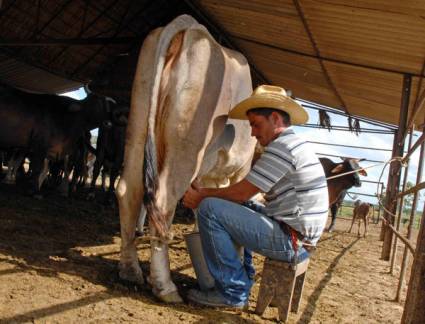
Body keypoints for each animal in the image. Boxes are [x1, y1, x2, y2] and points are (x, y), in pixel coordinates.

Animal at [114, 14, 256, 304]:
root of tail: (191, 26)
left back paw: (130, 270)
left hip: (138, 124)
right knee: (162, 201)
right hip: (188, 145)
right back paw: (165, 287)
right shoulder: (239, 170)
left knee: (128, 190)